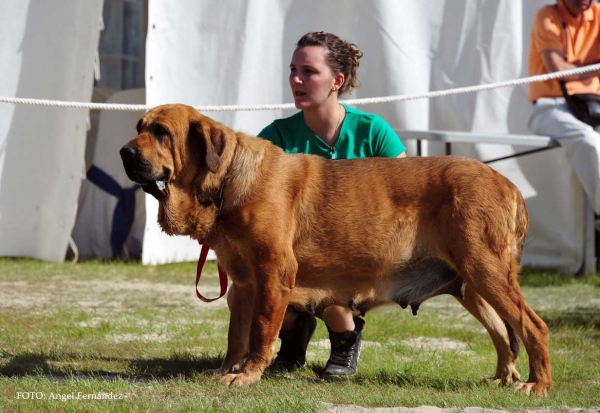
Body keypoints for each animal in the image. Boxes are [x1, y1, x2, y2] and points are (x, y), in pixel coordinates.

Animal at [120, 102, 552, 392]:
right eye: (139, 127)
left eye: (161, 132)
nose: (125, 152)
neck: (225, 180)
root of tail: (507, 183)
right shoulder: (242, 286)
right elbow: (236, 335)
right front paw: (227, 369)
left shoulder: (274, 274)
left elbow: (260, 330)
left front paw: (248, 375)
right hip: (470, 283)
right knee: (502, 332)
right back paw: (501, 377)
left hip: (486, 270)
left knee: (532, 326)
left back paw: (537, 384)